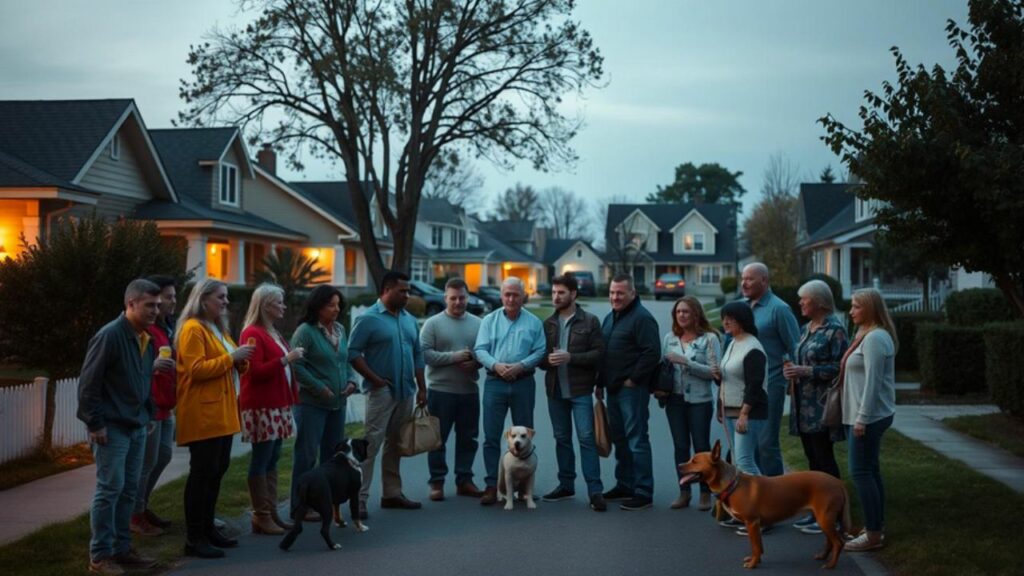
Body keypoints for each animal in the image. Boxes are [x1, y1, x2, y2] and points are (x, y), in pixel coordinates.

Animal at [679, 438, 847, 565]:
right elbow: (758, 546)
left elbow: (755, 546)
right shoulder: (755, 525)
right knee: (830, 541)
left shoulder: (752, 522)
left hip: (824, 519)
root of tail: (838, 482)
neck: (732, 484)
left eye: (694, 461)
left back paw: (831, 565)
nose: (679, 465)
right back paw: (823, 556)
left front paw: (753, 564)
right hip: (823, 519)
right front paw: (756, 560)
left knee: (838, 543)